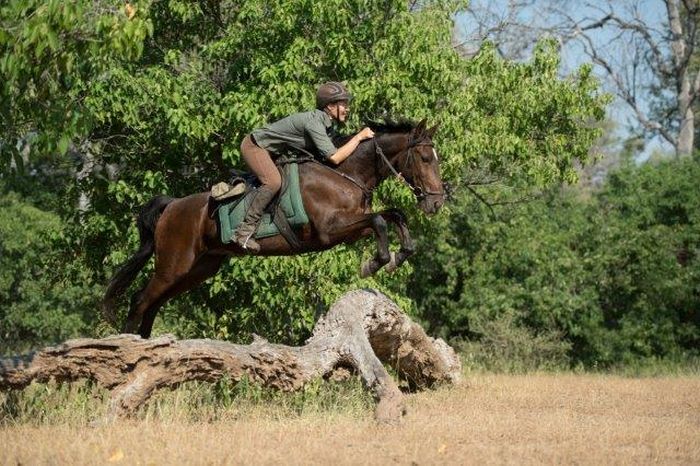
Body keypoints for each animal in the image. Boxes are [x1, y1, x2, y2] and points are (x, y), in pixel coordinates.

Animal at [102, 118, 446, 336]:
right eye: (425, 158)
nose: (437, 203)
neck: (345, 173)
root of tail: (171, 206)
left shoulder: (350, 226)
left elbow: (393, 216)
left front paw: (399, 256)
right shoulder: (330, 230)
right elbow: (378, 220)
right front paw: (375, 263)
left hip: (198, 268)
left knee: (153, 304)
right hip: (173, 264)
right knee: (140, 300)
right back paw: (128, 348)